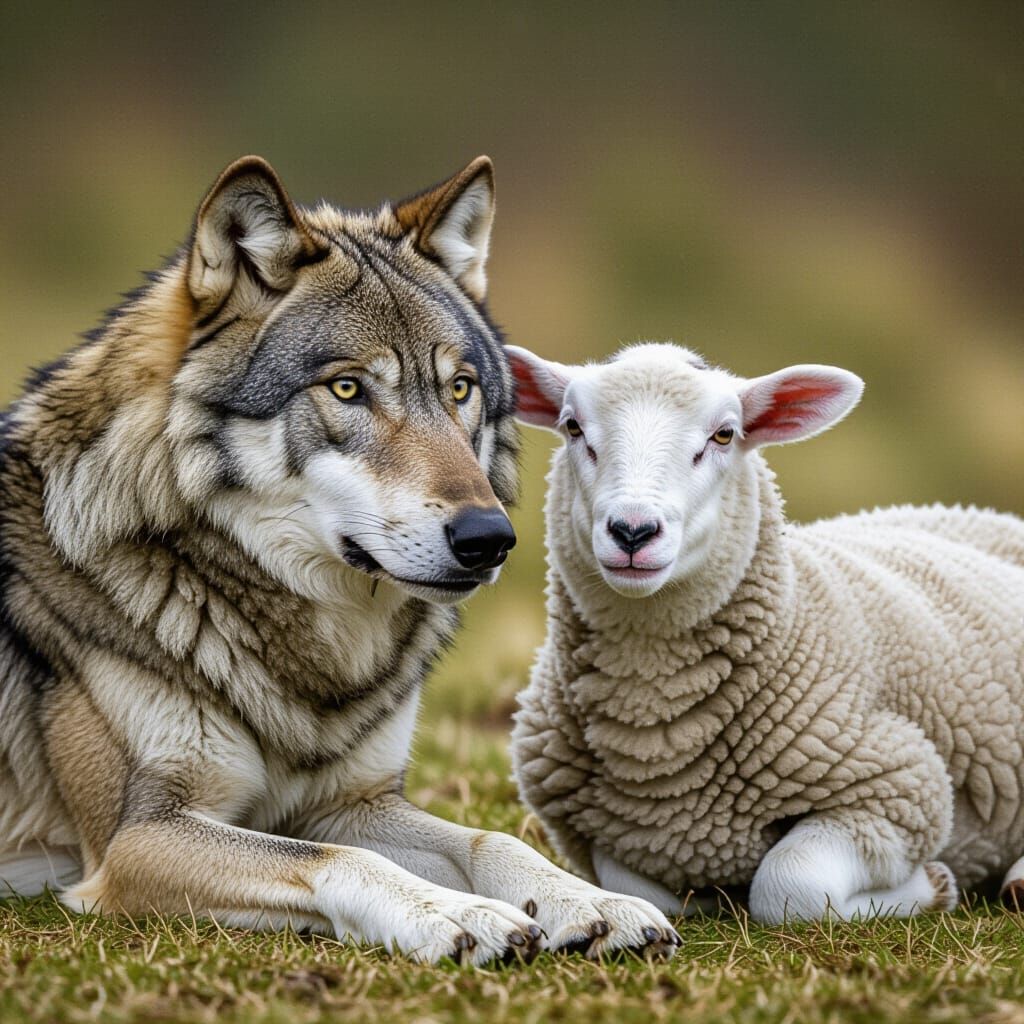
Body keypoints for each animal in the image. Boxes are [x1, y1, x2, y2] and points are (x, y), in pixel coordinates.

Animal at [0, 156, 678, 963]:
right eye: (349, 388)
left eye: (460, 388)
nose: (489, 538)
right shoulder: (137, 836)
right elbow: (342, 861)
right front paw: (453, 915)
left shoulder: (353, 803)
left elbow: (492, 840)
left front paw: (590, 900)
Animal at [506, 341, 1024, 923]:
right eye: (572, 427)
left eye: (724, 435)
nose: (633, 531)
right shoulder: (602, 831)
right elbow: (647, 894)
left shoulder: (896, 784)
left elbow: (788, 885)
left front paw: (933, 886)